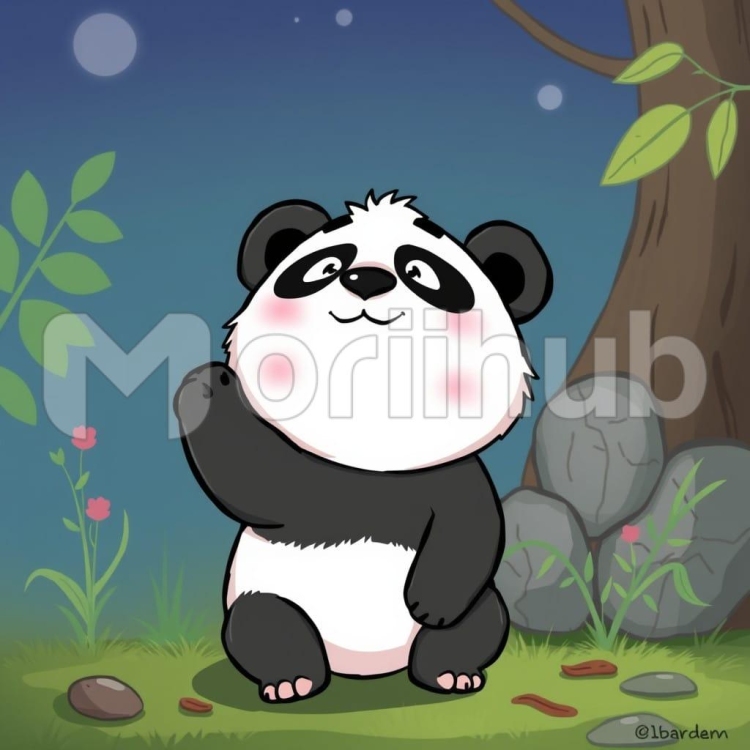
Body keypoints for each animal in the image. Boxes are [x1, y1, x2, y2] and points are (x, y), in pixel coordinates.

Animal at [174, 190, 552, 704]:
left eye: (419, 271)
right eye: (328, 265)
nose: (367, 280)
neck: (373, 449)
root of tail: (363, 665)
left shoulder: (451, 476)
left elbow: (474, 528)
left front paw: (429, 601)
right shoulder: (314, 476)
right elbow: (254, 483)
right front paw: (208, 382)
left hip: (475, 603)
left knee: (478, 620)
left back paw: (450, 672)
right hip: (264, 594)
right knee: (262, 623)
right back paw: (291, 679)